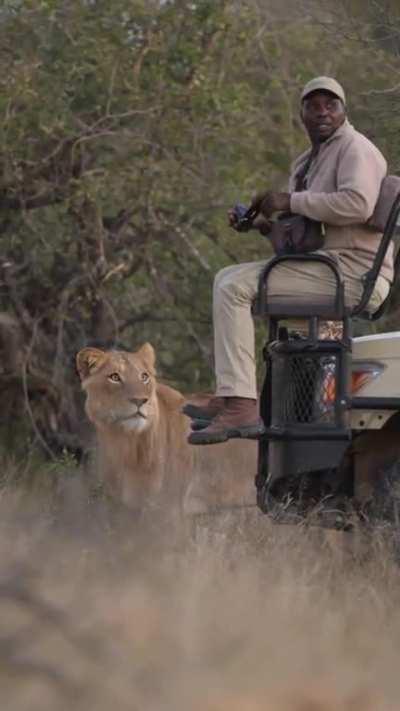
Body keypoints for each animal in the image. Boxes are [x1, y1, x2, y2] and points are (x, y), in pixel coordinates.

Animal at [76, 343, 258, 516]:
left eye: (144, 377)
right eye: (114, 377)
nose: (140, 400)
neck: (126, 444)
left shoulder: (169, 509)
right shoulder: (123, 508)